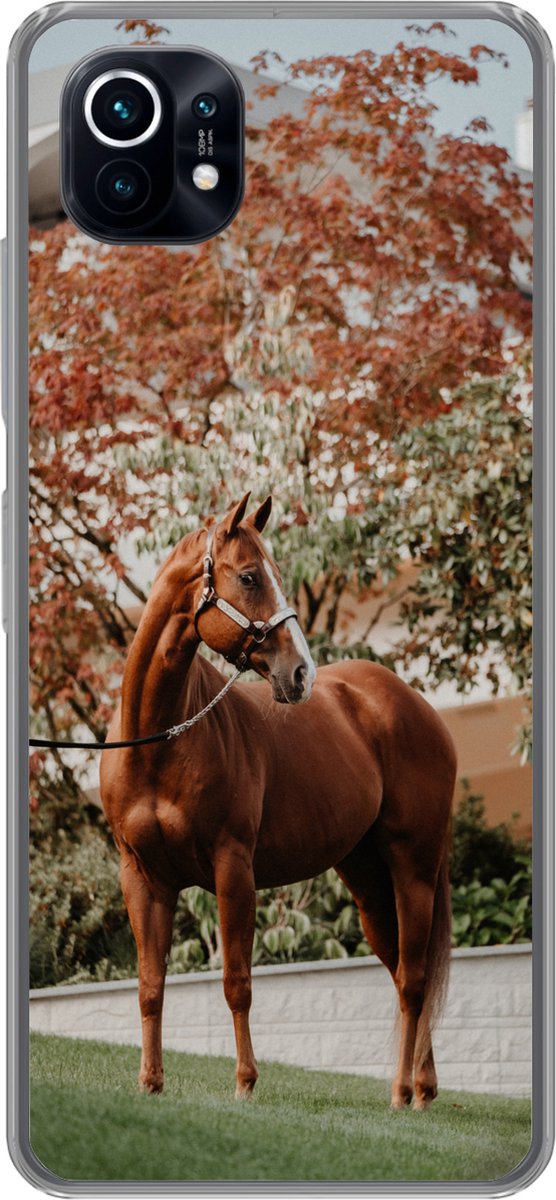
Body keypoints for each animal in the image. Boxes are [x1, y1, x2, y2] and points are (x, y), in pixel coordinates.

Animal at [100, 492, 456, 1110]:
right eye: (248, 576)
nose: (300, 673)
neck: (157, 742)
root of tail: (417, 707)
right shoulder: (142, 877)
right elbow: (149, 986)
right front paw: (150, 1082)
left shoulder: (232, 868)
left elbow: (237, 982)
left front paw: (245, 1082)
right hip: (367, 882)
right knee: (401, 969)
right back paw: (424, 1087)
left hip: (414, 870)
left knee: (413, 980)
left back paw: (401, 1092)